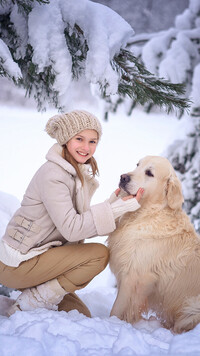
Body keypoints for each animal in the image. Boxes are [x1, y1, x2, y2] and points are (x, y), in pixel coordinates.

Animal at [108, 156, 200, 334]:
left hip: (193, 307)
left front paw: (110, 323)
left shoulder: (133, 277)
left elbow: (117, 308)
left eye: (149, 173)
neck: (148, 213)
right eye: (137, 165)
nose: (123, 177)